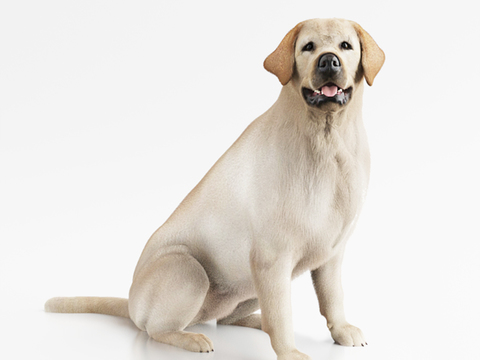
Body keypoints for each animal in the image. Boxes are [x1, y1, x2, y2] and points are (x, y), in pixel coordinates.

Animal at [46, 18, 386, 358]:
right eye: (308, 47)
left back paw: (252, 322)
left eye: (345, 46)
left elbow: (333, 297)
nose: (328, 61)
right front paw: (290, 352)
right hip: (188, 268)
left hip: (247, 287)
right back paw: (192, 339)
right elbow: (281, 314)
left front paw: (341, 330)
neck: (329, 140)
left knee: (227, 319)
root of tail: (130, 304)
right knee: (156, 328)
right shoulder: (271, 258)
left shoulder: (332, 253)